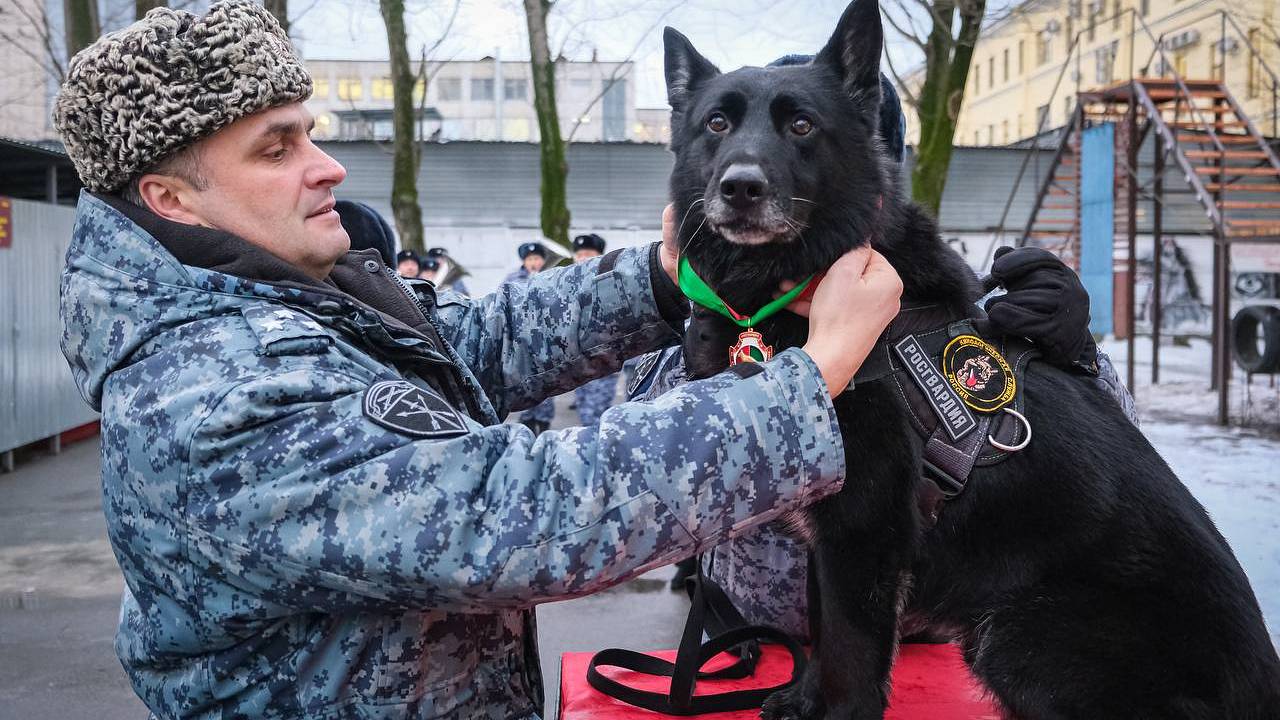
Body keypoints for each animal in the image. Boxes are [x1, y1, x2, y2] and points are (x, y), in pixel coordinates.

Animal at [665, 2, 1274, 712]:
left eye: (801, 124)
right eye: (716, 123)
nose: (740, 187)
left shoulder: (864, 531)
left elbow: (851, 653)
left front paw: (834, 708)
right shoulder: (834, 536)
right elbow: (824, 629)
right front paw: (802, 697)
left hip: (1016, 634)